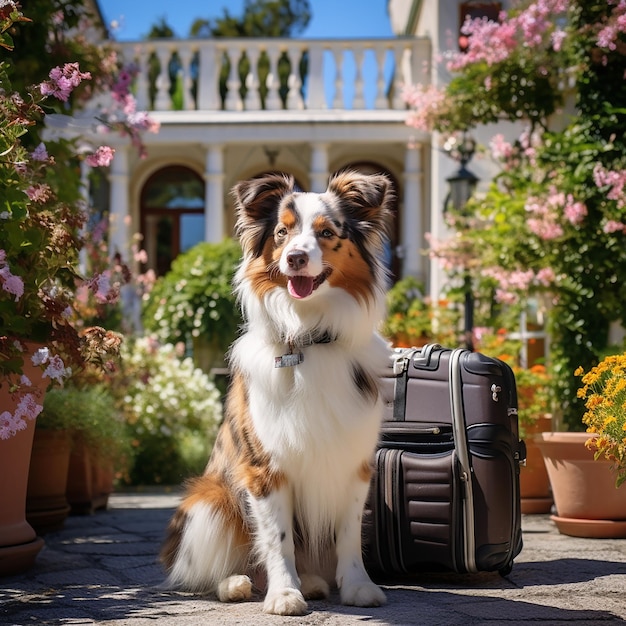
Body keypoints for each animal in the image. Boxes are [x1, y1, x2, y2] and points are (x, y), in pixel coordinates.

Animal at [160, 169, 390, 616]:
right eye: (282, 233)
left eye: (327, 232)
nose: (295, 258)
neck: (308, 336)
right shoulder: (264, 467)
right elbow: (277, 540)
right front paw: (284, 594)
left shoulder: (355, 464)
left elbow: (349, 534)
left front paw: (358, 586)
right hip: (208, 503)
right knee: (214, 572)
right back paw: (237, 584)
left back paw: (314, 582)